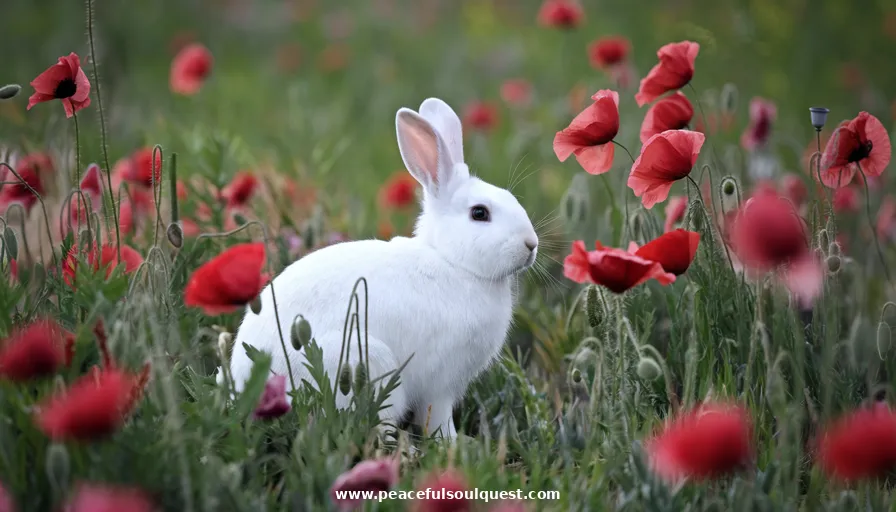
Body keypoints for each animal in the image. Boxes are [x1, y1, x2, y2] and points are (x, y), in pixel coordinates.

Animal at [231, 97, 540, 440]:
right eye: (480, 213)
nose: (531, 244)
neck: (451, 262)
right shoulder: (440, 382)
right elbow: (438, 417)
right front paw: (455, 443)